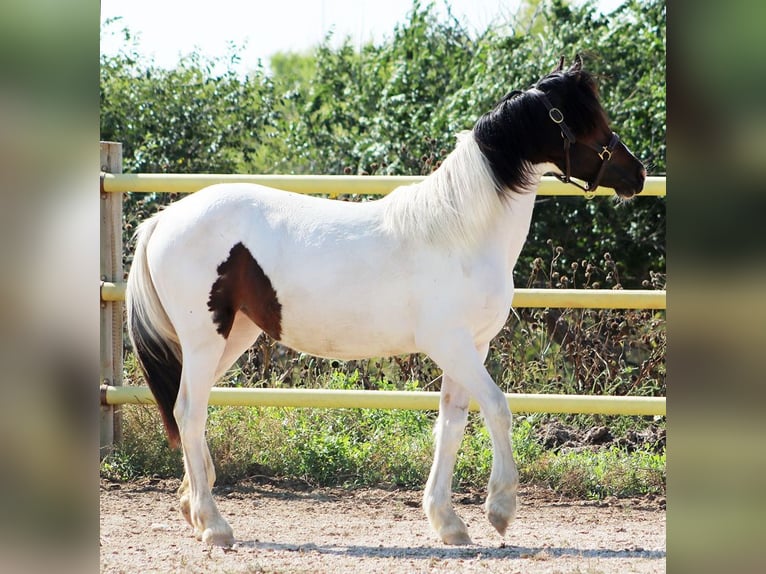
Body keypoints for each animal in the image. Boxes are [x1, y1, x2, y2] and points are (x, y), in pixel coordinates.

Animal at [126, 55, 646, 547]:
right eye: (588, 122)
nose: (637, 174)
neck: (459, 231)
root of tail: (163, 220)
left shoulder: (471, 347)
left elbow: (451, 425)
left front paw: (449, 523)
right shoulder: (450, 343)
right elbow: (498, 409)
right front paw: (500, 510)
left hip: (233, 336)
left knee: (188, 408)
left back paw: (193, 507)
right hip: (204, 339)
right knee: (189, 413)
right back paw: (214, 525)